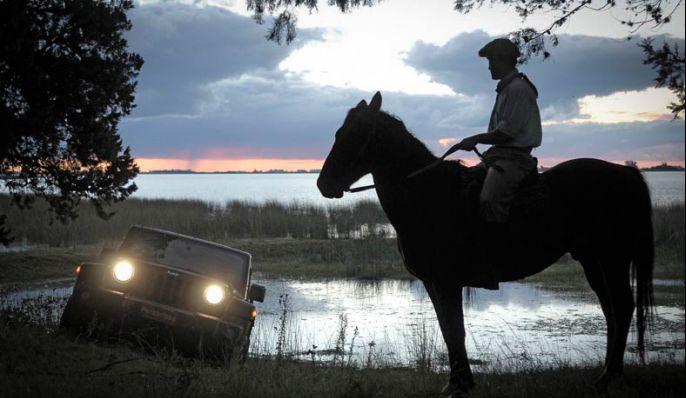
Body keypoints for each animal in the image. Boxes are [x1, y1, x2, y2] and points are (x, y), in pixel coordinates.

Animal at [318, 91, 656, 394]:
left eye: (354, 134)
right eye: (337, 133)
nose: (323, 184)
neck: (428, 196)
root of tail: (626, 172)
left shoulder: (447, 281)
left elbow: (456, 330)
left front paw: (460, 385)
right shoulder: (432, 282)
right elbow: (448, 329)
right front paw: (458, 381)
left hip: (612, 258)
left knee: (622, 306)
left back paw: (610, 376)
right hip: (592, 260)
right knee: (611, 309)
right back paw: (607, 374)